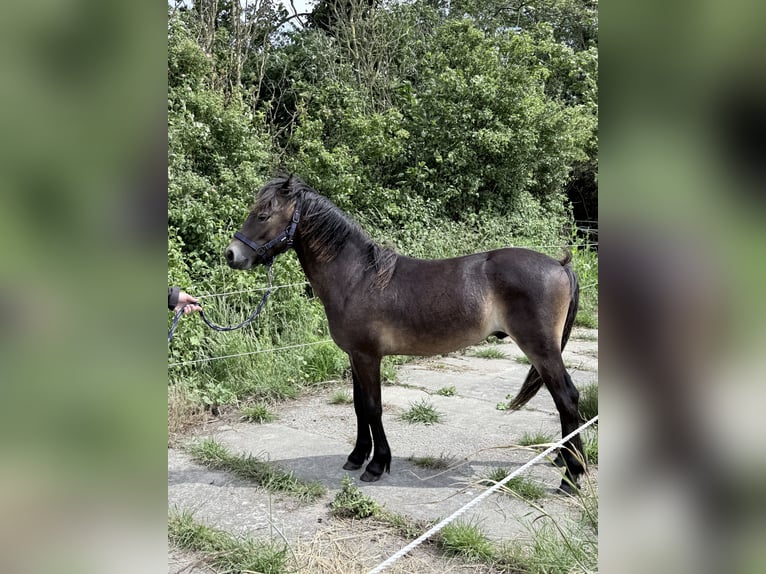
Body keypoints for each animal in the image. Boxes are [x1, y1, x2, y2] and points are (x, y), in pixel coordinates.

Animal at [225, 175, 585, 493]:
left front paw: (376, 465)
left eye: (263, 214)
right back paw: (564, 460)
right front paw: (357, 457)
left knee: (567, 398)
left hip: (542, 351)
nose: (232, 254)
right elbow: (358, 405)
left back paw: (571, 478)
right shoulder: (354, 356)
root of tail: (559, 264)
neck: (357, 278)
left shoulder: (368, 356)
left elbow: (373, 407)